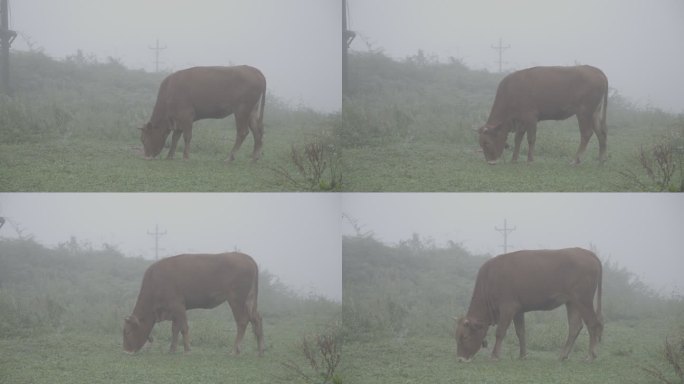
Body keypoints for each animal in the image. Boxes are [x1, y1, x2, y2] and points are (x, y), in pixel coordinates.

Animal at [123, 252, 264, 356]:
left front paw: (187, 350)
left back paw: (235, 350)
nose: (126, 351)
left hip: (237, 300)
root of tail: (245, 257)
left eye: (128, 332)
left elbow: (183, 328)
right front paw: (172, 350)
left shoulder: (178, 305)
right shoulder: (174, 311)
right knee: (256, 319)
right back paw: (260, 351)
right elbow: (175, 329)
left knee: (242, 321)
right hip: (250, 300)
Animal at [454, 249, 604, 364]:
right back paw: (563, 355)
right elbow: (521, 332)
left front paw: (495, 356)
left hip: (583, 300)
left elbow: (500, 332)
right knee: (575, 327)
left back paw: (590, 356)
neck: (490, 280)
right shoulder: (518, 310)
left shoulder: (508, 308)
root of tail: (586, 252)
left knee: (593, 324)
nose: (460, 359)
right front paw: (523, 355)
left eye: (465, 337)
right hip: (572, 302)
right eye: (457, 337)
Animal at [476, 66, 608, 165]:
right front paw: (514, 159)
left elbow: (531, 138)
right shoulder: (521, 120)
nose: (490, 162)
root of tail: (594, 69)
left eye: (487, 143)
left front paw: (530, 160)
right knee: (601, 133)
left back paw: (575, 160)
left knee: (586, 133)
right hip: (594, 113)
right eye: (481, 144)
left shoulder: (530, 117)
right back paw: (601, 160)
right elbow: (518, 139)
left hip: (584, 112)